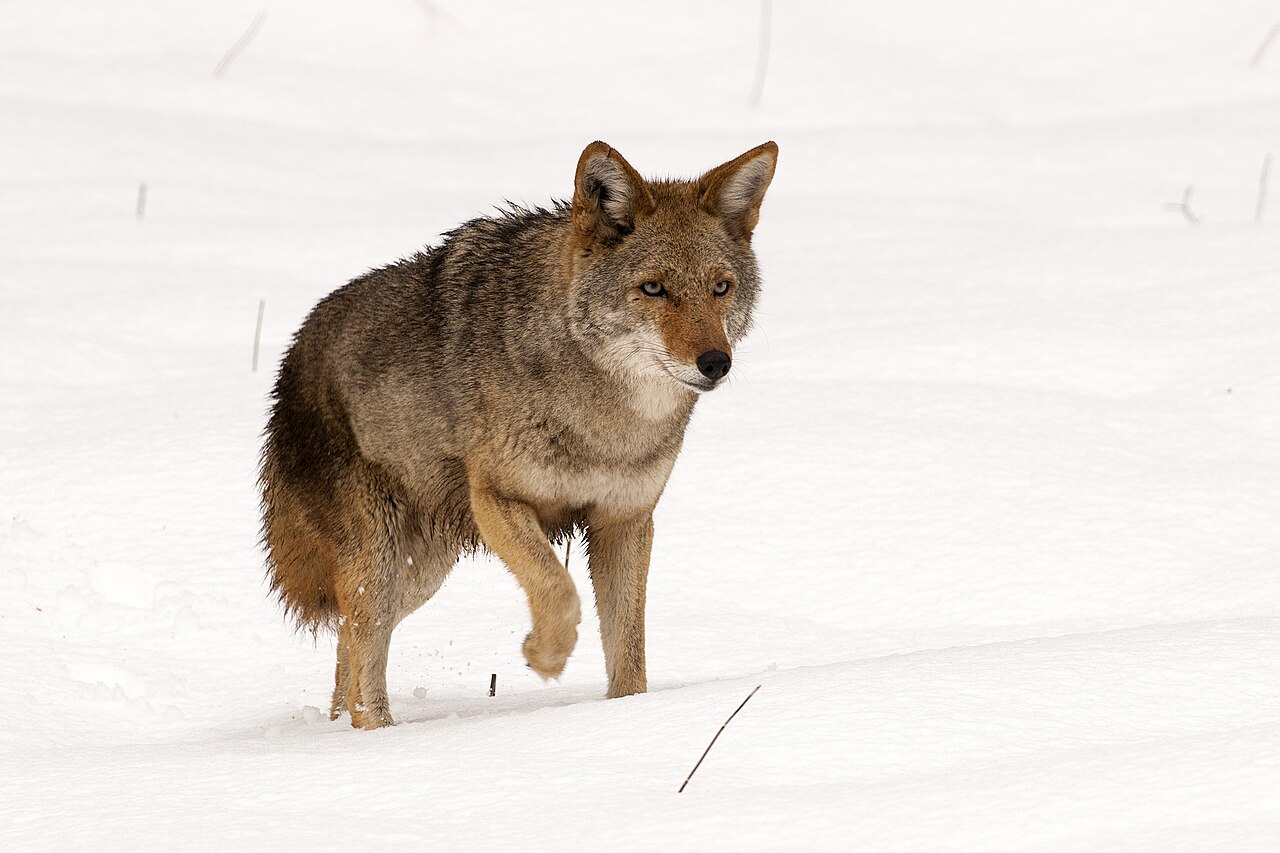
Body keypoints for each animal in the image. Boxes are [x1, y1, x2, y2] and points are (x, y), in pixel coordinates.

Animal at [260, 140, 778, 728]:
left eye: (720, 288)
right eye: (654, 289)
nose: (715, 363)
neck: (606, 423)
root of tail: (291, 357)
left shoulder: (625, 522)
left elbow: (629, 651)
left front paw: (628, 717)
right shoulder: (497, 499)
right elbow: (557, 586)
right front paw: (546, 655)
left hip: (417, 575)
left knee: (348, 648)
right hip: (383, 563)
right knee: (362, 657)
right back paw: (379, 737)